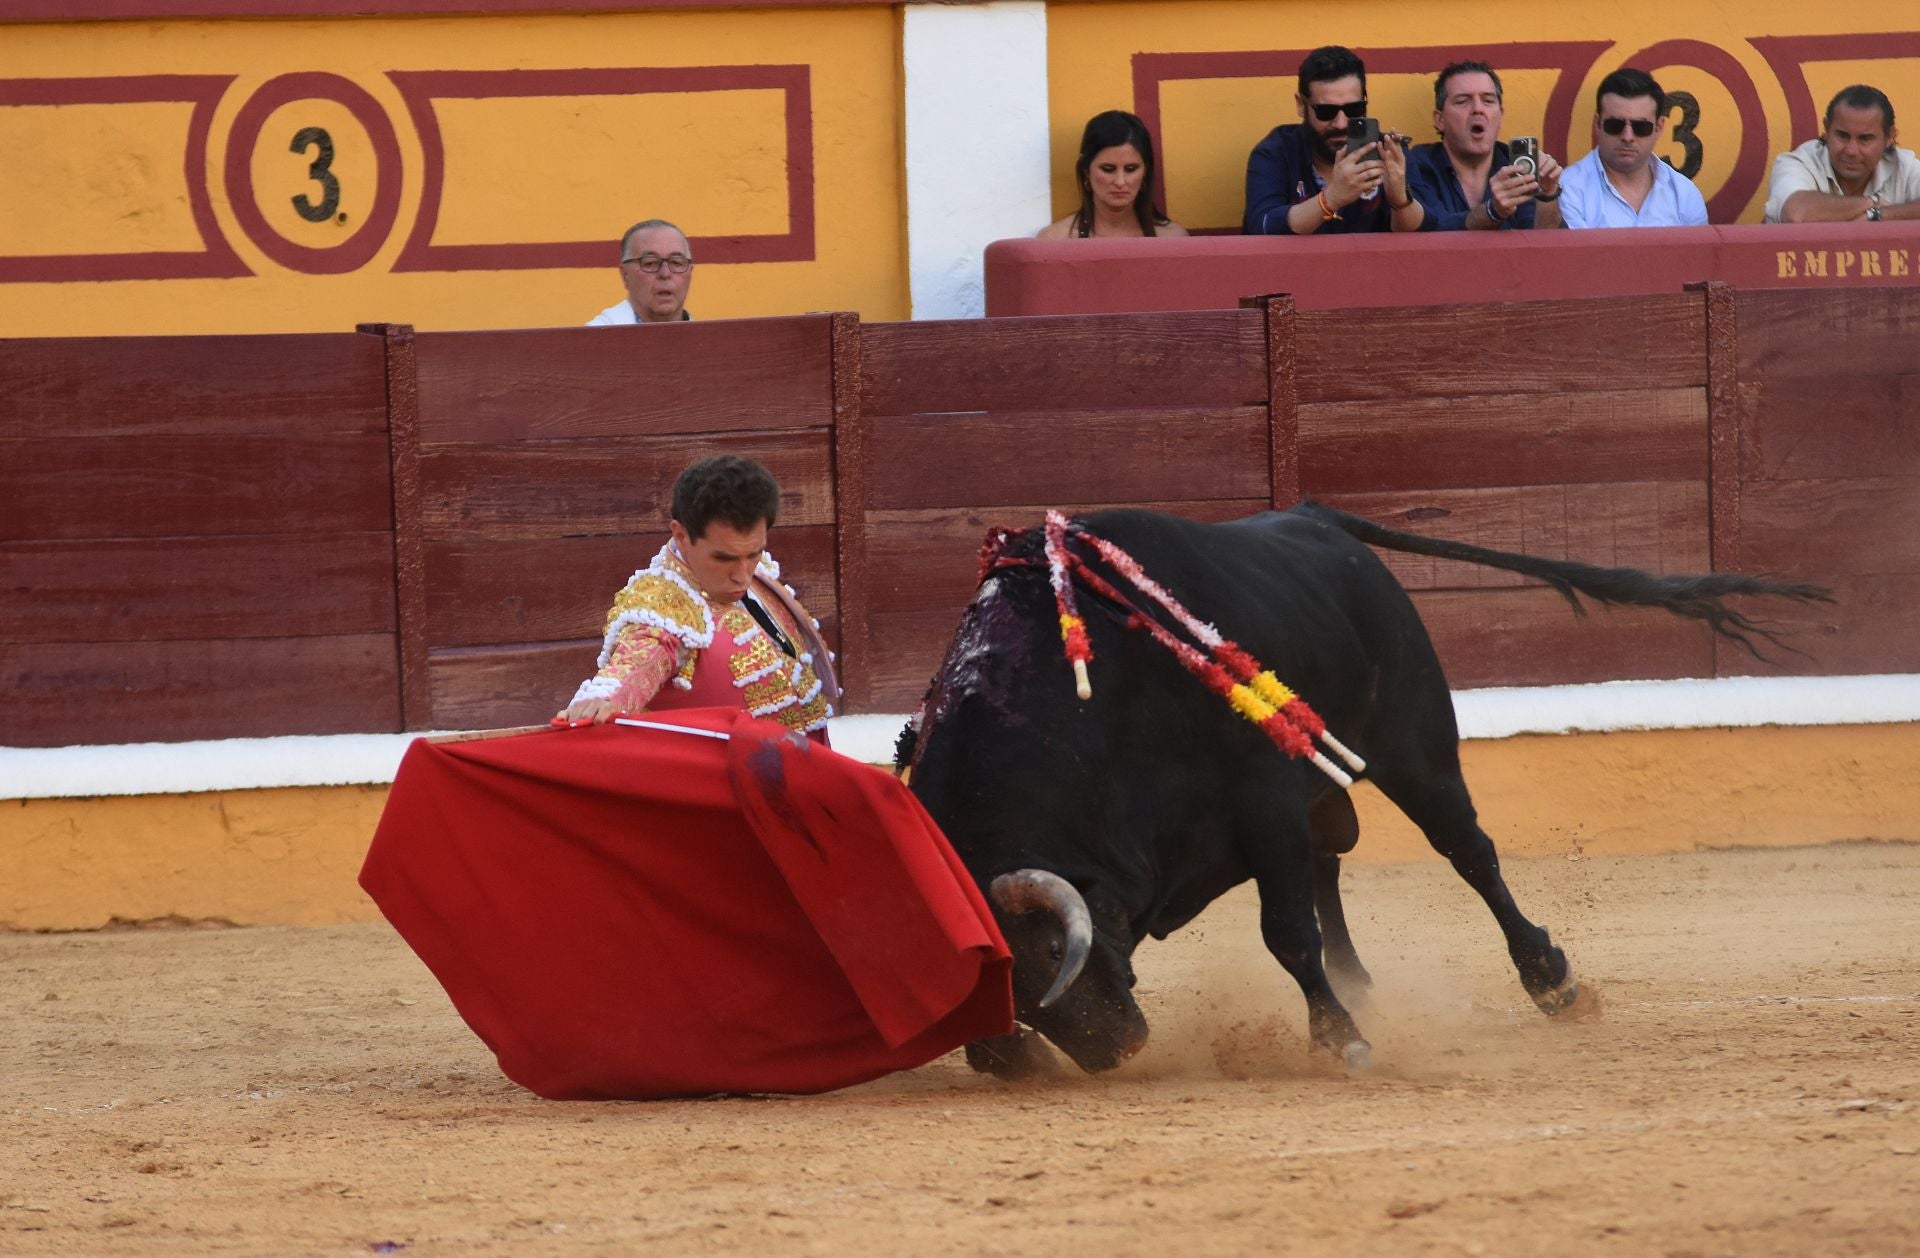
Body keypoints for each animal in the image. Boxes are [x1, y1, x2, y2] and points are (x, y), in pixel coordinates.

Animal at [898, 507, 1827, 1075]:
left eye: (1053, 953)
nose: (1114, 1050)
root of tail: (1315, 515)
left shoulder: (1263, 806)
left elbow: (1285, 933)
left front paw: (1339, 1039)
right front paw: (1002, 1054)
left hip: (1416, 748)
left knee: (1467, 853)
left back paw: (1549, 980)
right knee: (1331, 863)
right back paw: (1365, 983)